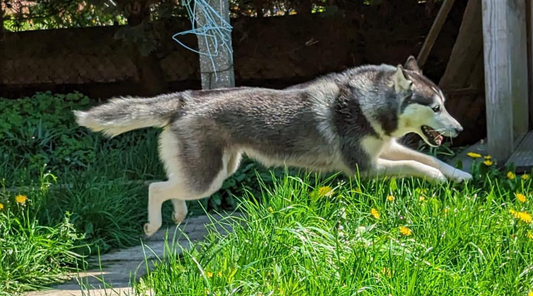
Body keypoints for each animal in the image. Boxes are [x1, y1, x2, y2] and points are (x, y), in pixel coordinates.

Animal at [74, 56, 470, 236]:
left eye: (446, 104)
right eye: (436, 108)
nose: (460, 127)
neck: (366, 102)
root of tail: (185, 99)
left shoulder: (383, 150)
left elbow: (427, 158)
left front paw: (460, 175)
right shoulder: (365, 167)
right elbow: (418, 165)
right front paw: (439, 179)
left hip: (214, 171)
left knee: (170, 187)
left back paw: (179, 215)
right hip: (207, 179)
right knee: (155, 186)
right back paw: (155, 225)